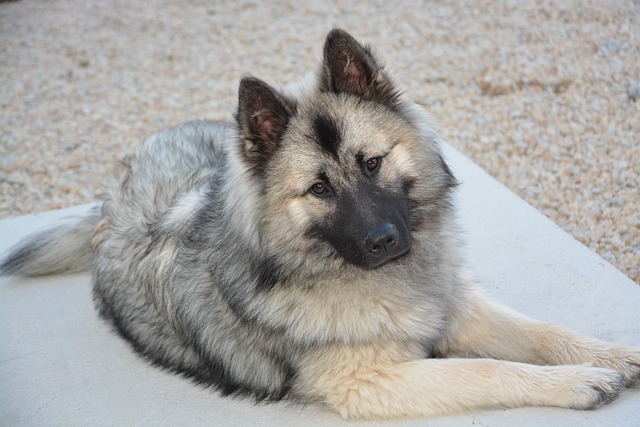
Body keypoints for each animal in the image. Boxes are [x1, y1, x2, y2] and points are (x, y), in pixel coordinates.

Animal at [1, 30, 640, 422]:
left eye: (373, 163)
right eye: (318, 189)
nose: (385, 241)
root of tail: (115, 200)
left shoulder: (456, 305)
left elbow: (539, 333)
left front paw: (609, 356)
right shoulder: (372, 380)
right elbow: (485, 370)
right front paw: (577, 382)